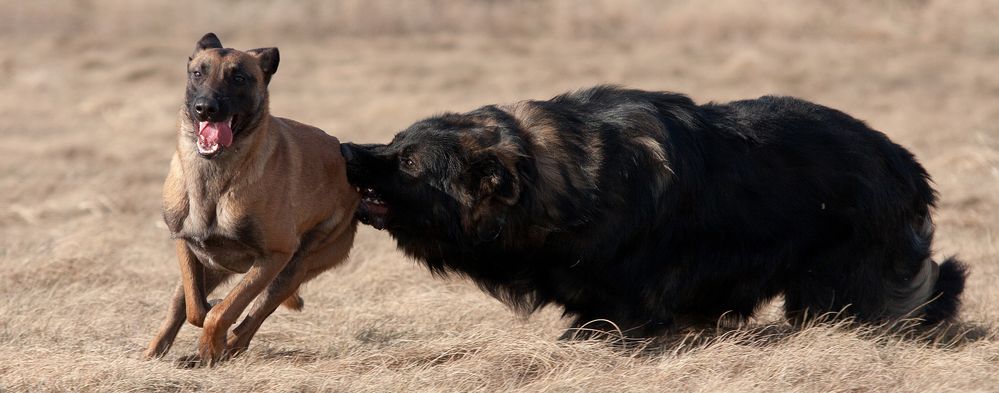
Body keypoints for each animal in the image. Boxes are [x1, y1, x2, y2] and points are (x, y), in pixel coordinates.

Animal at [145, 33, 356, 364]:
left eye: (239, 78)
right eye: (198, 73)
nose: (205, 108)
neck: (215, 175)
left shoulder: (274, 256)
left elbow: (223, 311)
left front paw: (211, 345)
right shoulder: (185, 243)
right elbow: (195, 307)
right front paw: (206, 326)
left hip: (292, 270)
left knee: (248, 326)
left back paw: (215, 353)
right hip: (218, 268)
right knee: (180, 308)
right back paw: (155, 354)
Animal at [342, 85, 968, 336]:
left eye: (410, 161)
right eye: (395, 141)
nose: (345, 150)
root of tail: (903, 161)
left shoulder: (628, 302)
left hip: (840, 284)